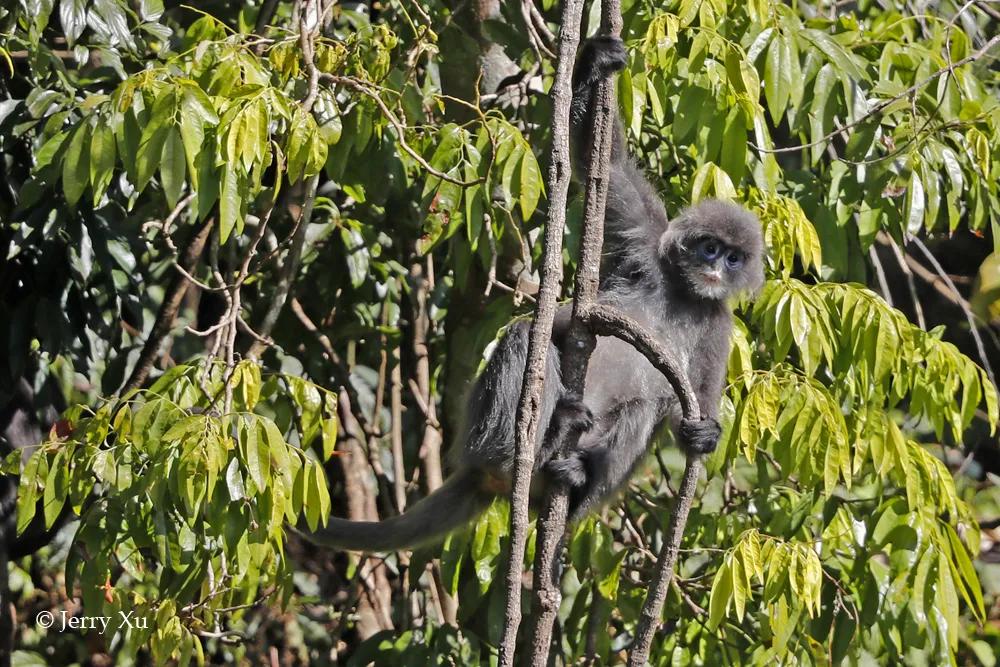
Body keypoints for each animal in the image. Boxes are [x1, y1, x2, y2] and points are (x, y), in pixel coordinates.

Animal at [300, 35, 760, 552]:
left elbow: (691, 408)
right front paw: (598, 61)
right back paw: (530, 445)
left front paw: (705, 435)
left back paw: (574, 480)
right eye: (709, 247)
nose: (715, 268)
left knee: (645, 407)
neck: (683, 292)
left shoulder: (718, 323)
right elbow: (604, 165)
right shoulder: (647, 242)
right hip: (486, 428)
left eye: (734, 257)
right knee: (523, 336)